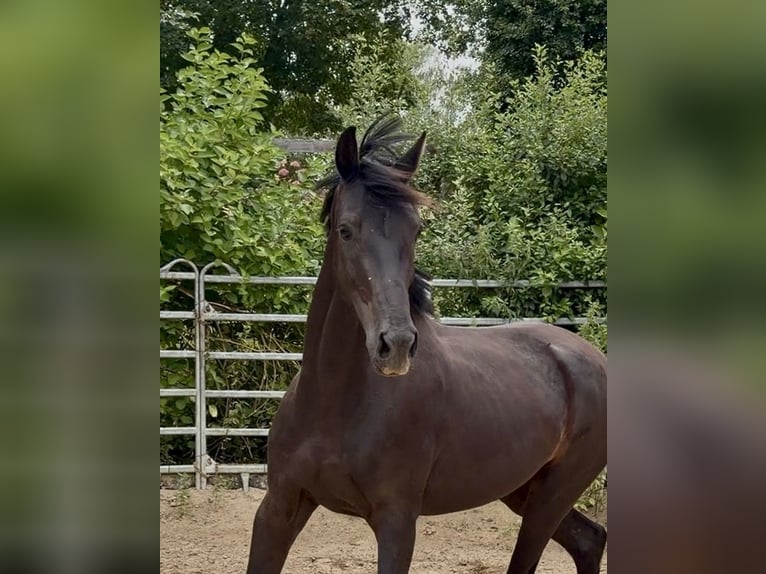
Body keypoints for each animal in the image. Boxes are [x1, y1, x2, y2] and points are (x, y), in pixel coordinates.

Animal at [246, 114, 607, 574]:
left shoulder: (397, 523)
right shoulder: (279, 508)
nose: (396, 345)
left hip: (551, 497)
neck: (333, 404)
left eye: (416, 230)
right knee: (589, 539)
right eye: (346, 230)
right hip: (523, 489)